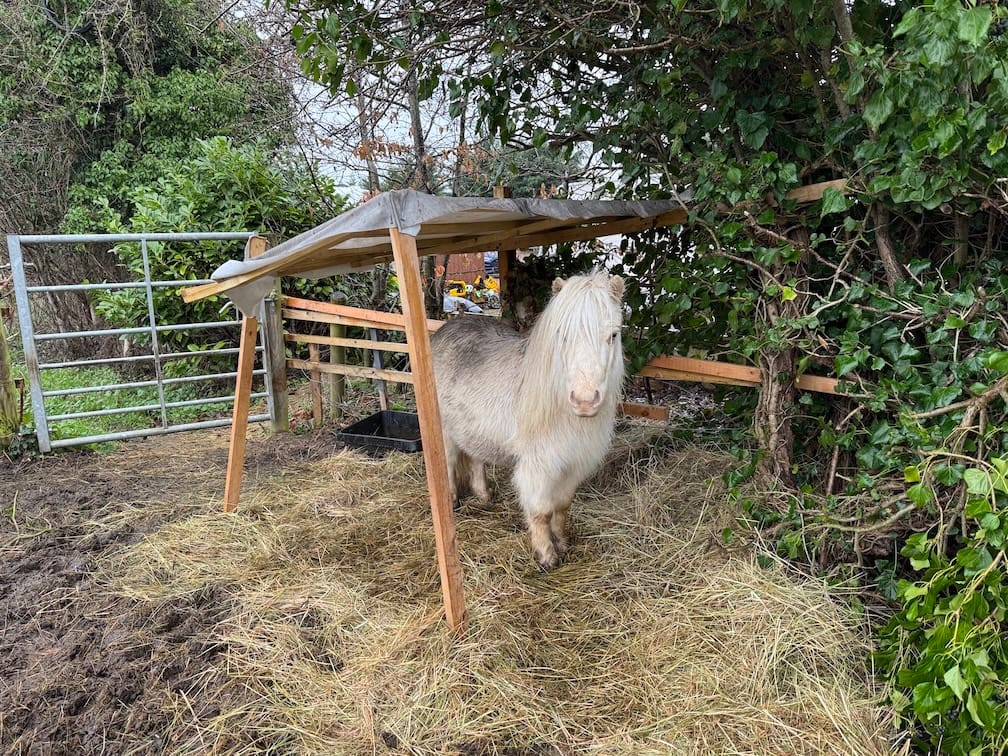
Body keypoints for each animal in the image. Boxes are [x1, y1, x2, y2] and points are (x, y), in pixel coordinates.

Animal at [430, 271, 625, 569]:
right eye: (562, 335)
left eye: (613, 335)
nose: (584, 400)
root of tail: (445, 328)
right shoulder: (538, 466)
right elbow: (541, 511)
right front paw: (546, 555)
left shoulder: (573, 463)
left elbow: (562, 505)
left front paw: (562, 542)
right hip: (445, 428)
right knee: (449, 462)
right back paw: (452, 500)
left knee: (475, 458)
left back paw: (484, 495)